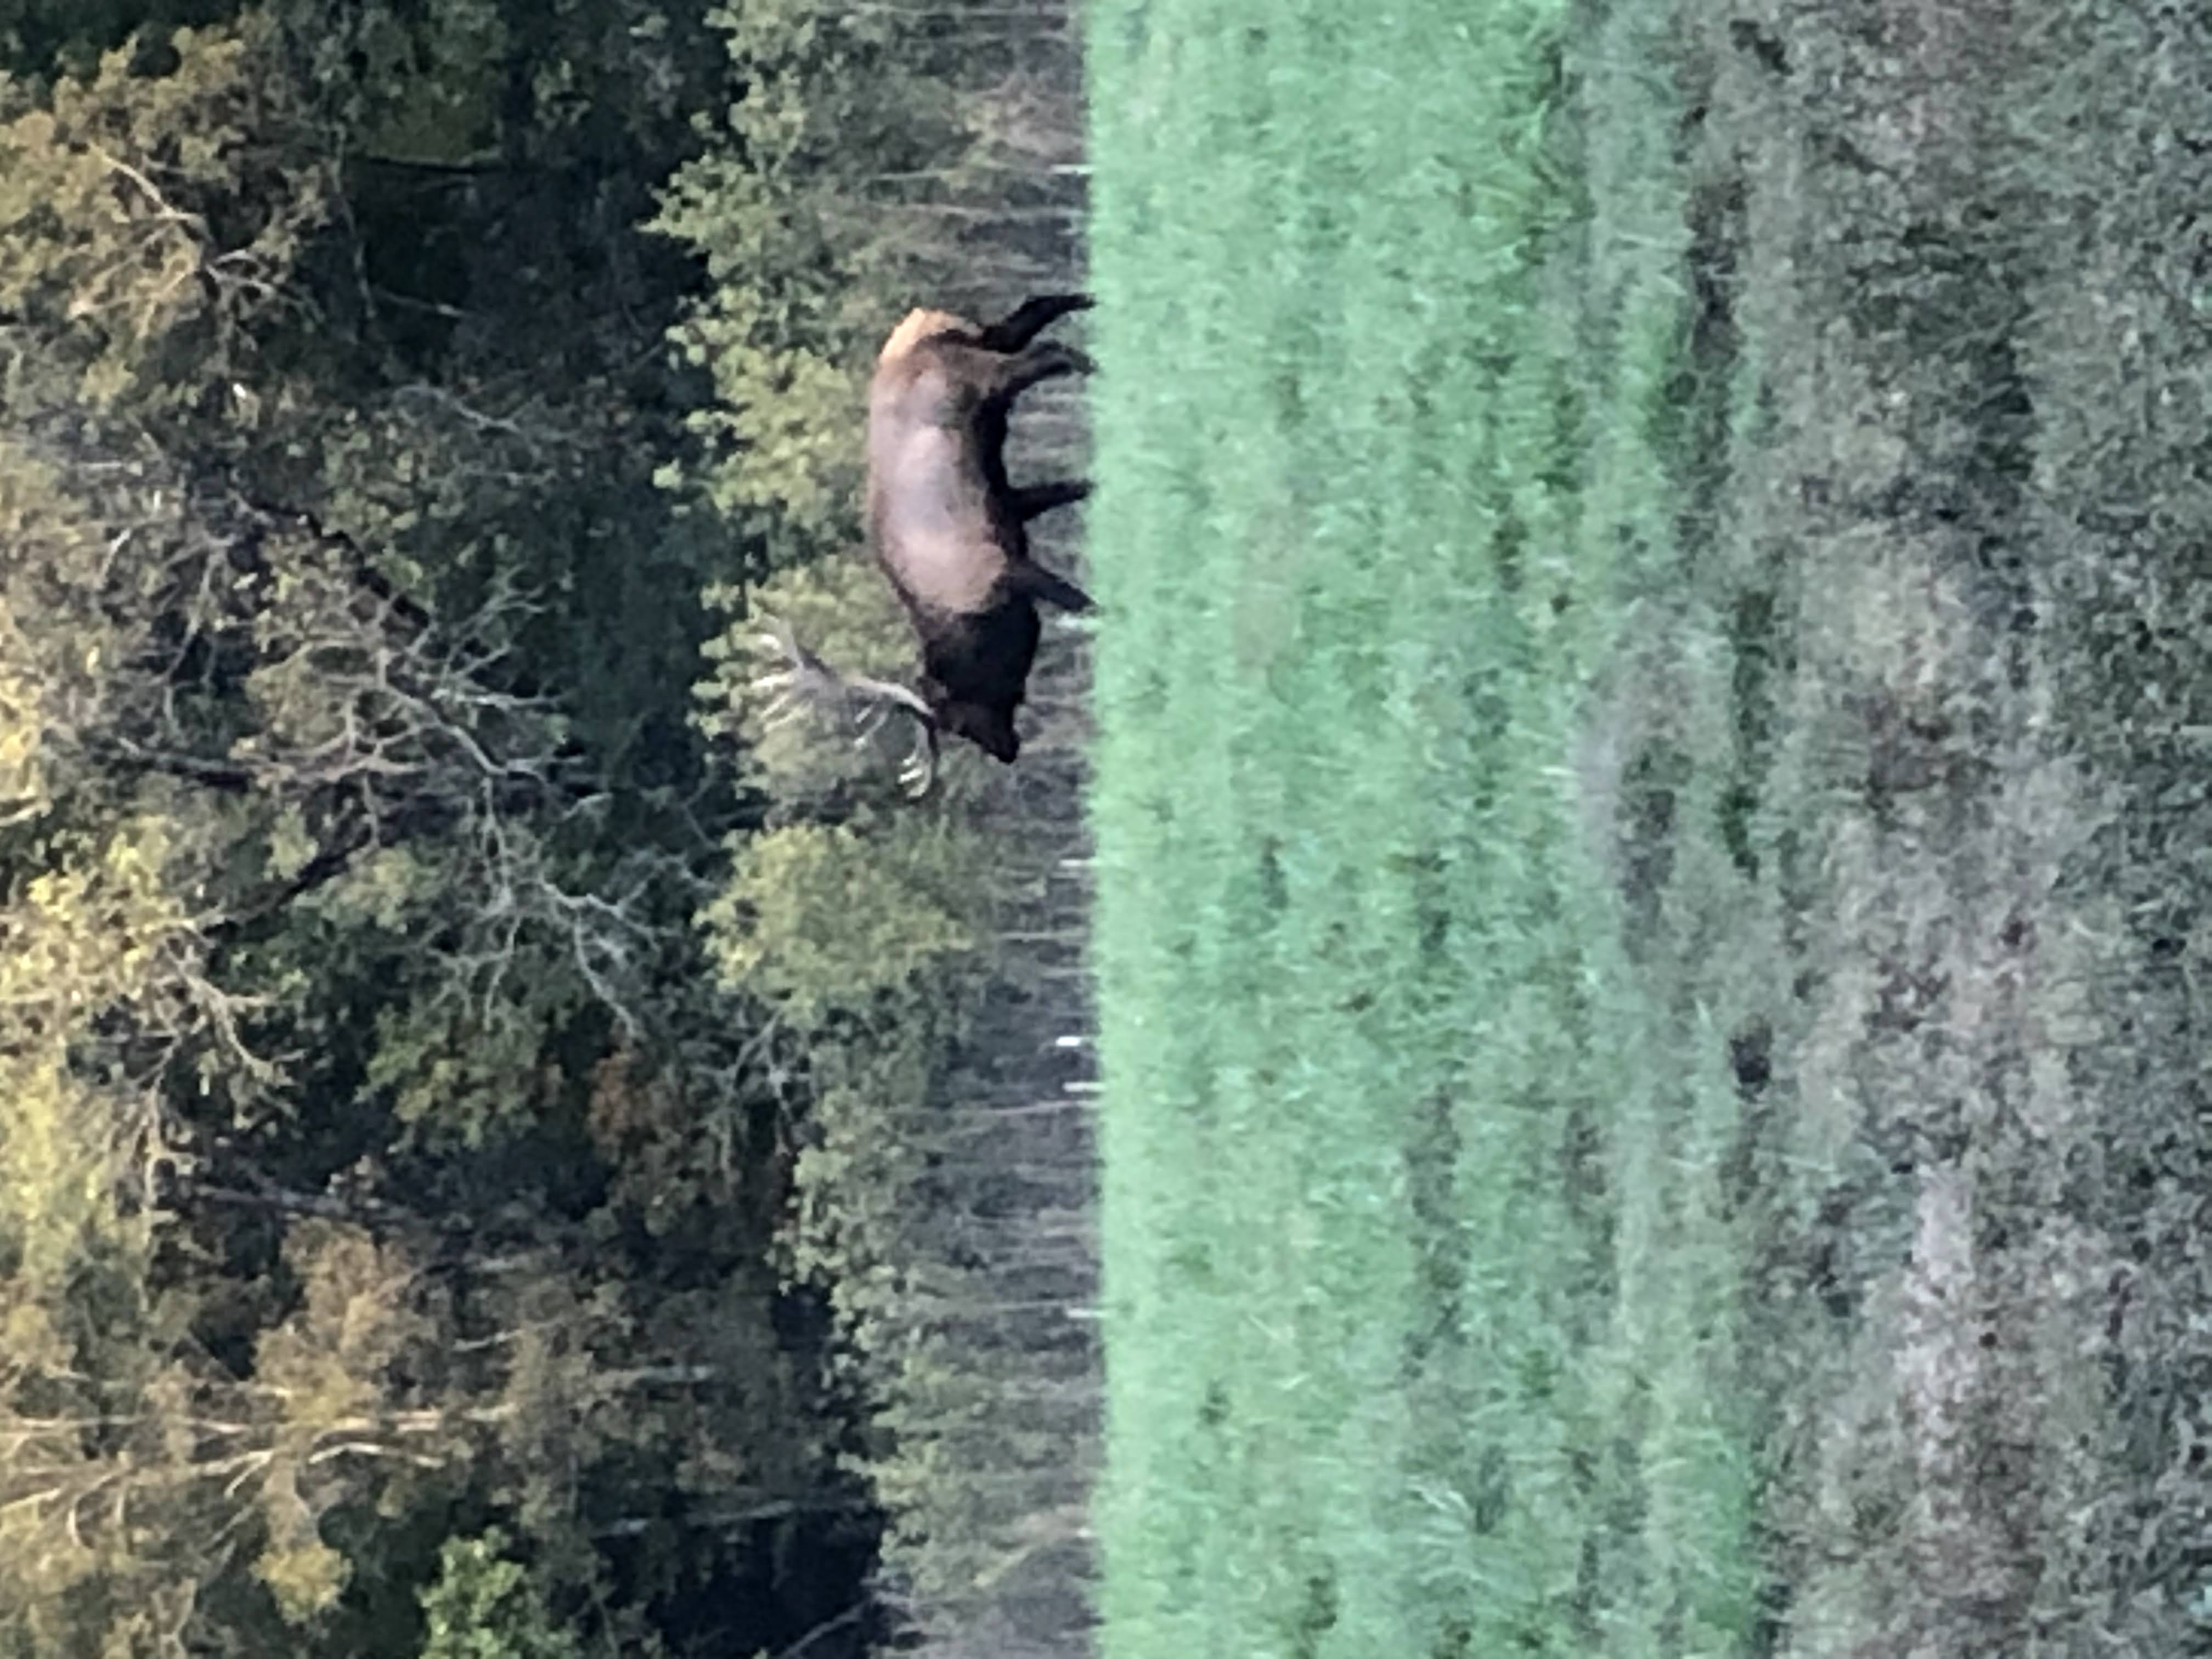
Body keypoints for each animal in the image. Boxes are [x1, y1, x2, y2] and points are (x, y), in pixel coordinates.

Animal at [754, 295, 1095, 795]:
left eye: (955, 719)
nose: (1007, 752)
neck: (971, 614)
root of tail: (916, 331)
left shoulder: (1003, 566)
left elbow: (1081, 602)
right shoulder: (1011, 511)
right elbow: (1073, 489)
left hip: (980, 376)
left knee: (1047, 352)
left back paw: (1092, 361)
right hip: (986, 342)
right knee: (1031, 315)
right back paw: (1090, 303)